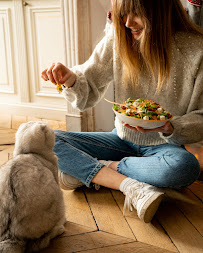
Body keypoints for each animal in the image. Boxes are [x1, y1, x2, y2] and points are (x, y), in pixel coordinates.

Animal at [0, 121, 66, 252]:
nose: (53, 129)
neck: (29, 153)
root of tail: (11, 235)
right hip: (58, 202)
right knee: (43, 240)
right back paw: (60, 228)